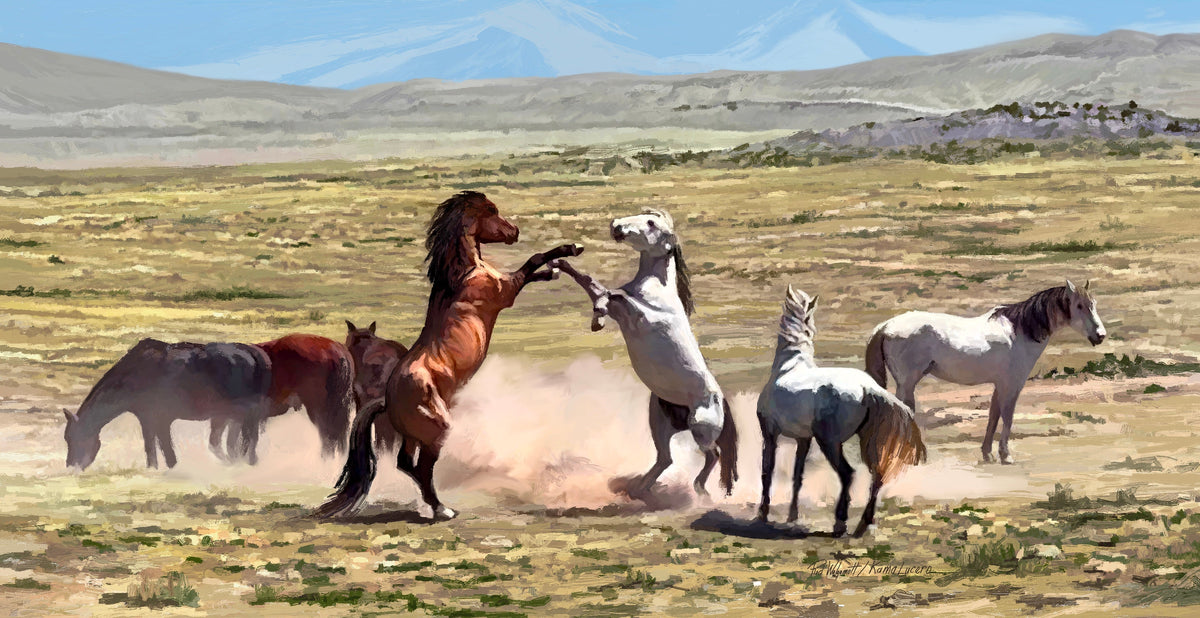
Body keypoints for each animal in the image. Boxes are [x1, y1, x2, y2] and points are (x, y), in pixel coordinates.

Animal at [64, 339, 272, 470]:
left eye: (73, 437)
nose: (71, 466)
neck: (135, 373)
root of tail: (251, 352)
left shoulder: (161, 419)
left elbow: (166, 450)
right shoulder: (147, 420)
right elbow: (151, 449)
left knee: (249, 439)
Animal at [551, 208, 739, 500]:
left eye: (651, 223)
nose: (616, 226)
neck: (656, 291)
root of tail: (721, 401)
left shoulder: (640, 317)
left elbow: (612, 293)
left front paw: (598, 314)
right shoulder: (623, 312)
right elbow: (591, 283)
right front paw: (561, 264)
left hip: (700, 429)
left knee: (714, 454)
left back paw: (699, 491)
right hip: (659, 422)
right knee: (666, 458)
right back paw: (639, 489)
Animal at [756, 285, 926, 537]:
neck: (788, 366)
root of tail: (867, 387)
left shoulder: (770, 434)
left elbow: (767, 472)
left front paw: (763, 514)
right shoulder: (804, 439)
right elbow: (798, 475)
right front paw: (792, 516)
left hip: (830, 443)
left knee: (848, 474)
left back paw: (840, 522)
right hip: (864, 441)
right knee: (877, 475)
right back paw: (863, 524)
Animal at [865, 280, 1106, 464]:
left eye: (1094, 304)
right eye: (1079, 306)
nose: (1100, 335)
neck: (1019, 332)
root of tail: (885, 326)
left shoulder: (999, 385)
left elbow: (993, 416)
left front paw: (987, 454)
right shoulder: (1012, 385)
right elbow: (1007, 417)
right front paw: (1005, 456)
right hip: (907, 384)